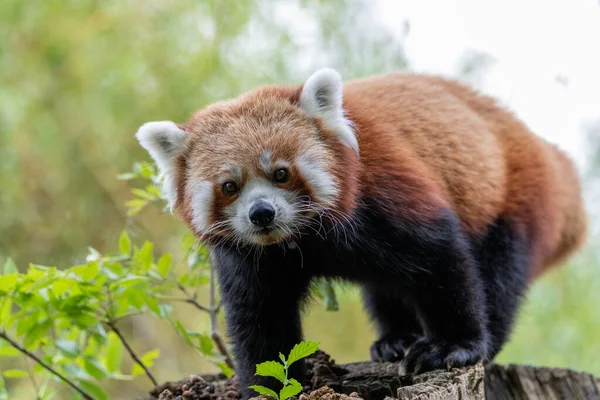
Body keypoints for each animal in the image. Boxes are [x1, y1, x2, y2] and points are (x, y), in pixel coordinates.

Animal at [135, 68, 584, 396]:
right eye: (230, 186)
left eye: (280, 173)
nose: (261, 214)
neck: (303, 239)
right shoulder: (251, 258)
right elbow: (260, 320)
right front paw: (267, 386)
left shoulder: (385, 193)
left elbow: (443, 262)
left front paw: (452, 346)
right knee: (385, 290)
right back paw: (395, 339)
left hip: (516, 198)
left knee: (499, 276)